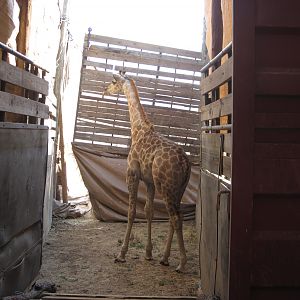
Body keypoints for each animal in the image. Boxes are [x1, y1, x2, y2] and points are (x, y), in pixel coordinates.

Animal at [104, 71, 191, 272]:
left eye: (113, 81)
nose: (104, 90)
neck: (137, 129)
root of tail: (186, 164)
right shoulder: (149, 181)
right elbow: (148, 210)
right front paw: (149, 253)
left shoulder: (132, 174)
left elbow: (132, 212)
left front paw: (121, 254)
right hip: (178, 189)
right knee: (177, 216)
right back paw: (164, 258)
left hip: (166, 187)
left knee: (175, 218)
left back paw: (181, 264)